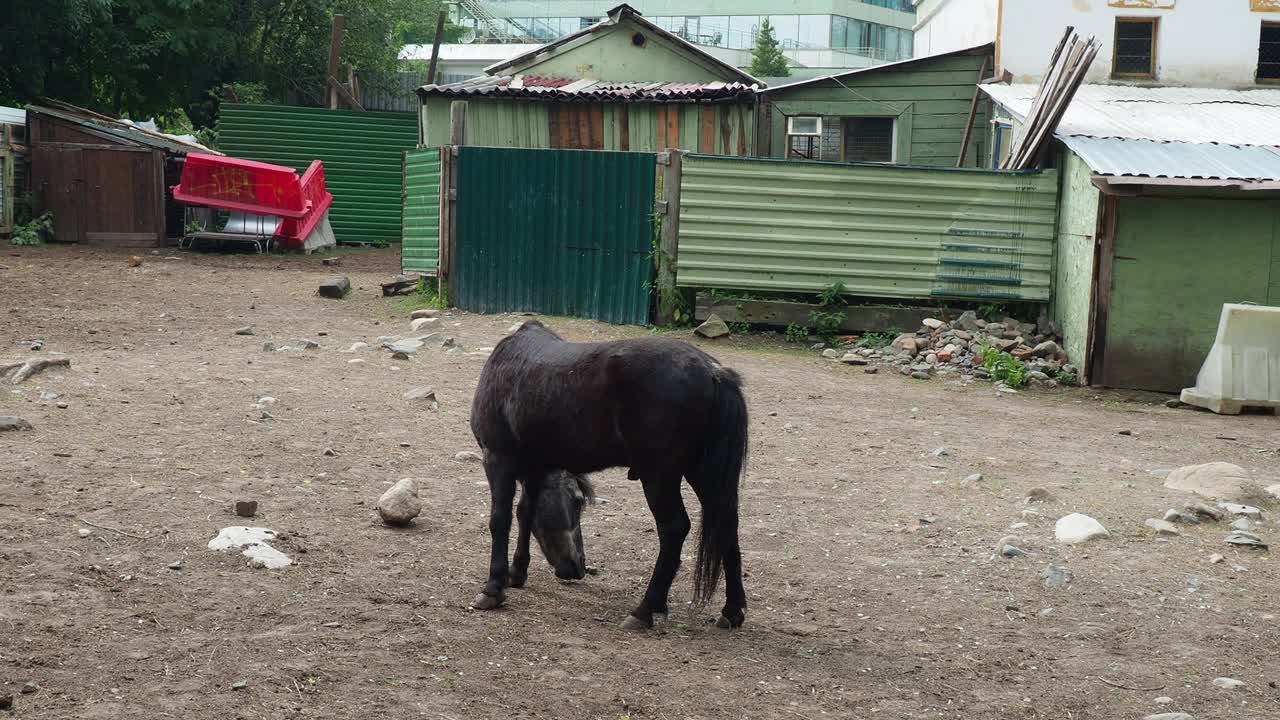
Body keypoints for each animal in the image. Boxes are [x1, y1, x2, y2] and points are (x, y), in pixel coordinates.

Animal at [471, 319, 747, 627]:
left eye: (579, 502)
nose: (577, 567)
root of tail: (713, 372)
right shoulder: (534, 470)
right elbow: (525, 514)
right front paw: (517, 574)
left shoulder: (497, 458)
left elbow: (500, 520)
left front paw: (493, 587)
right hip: (705, 474)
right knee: (726, 524)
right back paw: (731, 611)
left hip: (660, 476)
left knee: (674, 529)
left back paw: (644, 610)